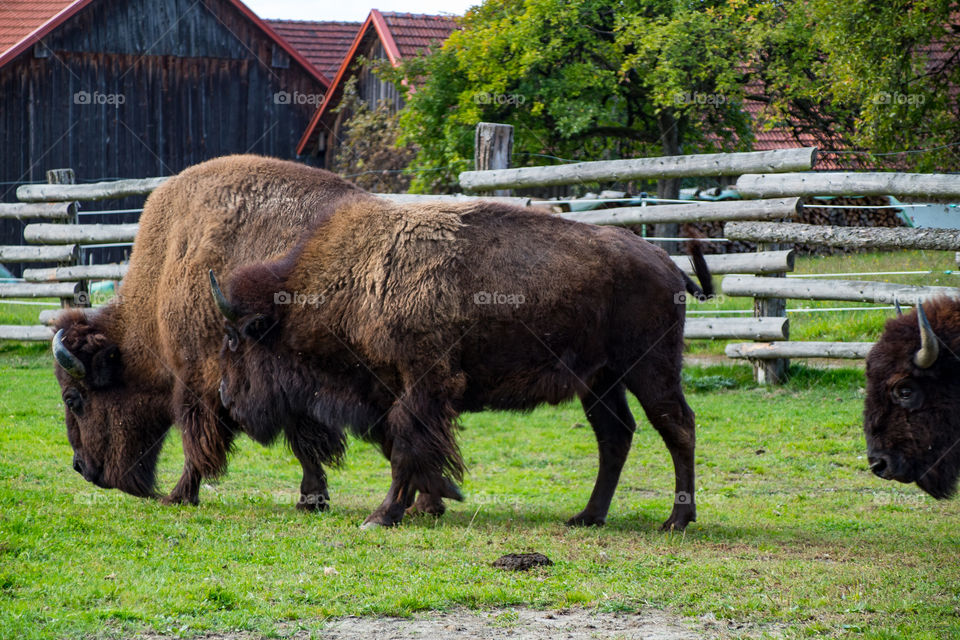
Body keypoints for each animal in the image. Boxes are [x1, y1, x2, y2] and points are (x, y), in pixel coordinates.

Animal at [52, 155, 371, 509]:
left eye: (73, 399)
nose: (80, 466)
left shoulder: (199, 381)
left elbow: (199, 443)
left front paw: (179, 496)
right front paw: (313, 498)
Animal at [212, 197, 713, 530]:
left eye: (239, 337)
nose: (226, 398)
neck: (356, 280)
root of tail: (666, 262)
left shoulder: (423, 382)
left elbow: (406, 444)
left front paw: (383, 515)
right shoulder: (392, 390)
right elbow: (405, 445)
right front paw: (431, 500)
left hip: (650, 369)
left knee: (678, 426)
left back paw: (676, 519)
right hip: (600, 381)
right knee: (616, 436)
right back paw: (587, 516)